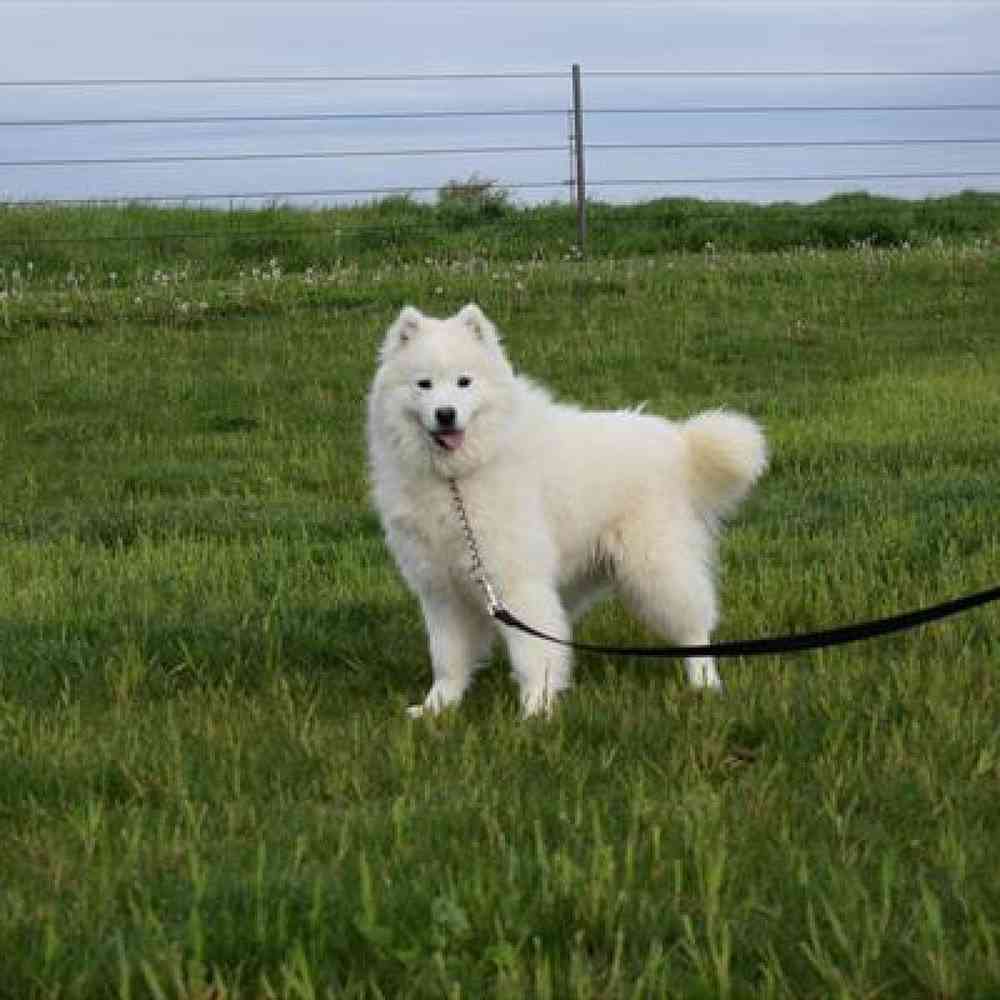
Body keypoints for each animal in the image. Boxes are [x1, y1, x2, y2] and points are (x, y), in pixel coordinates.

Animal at [368, 304, 764, 720]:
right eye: (424, 384)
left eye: (464, 382)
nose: (446, 414)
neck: (455, 481)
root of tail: (678, 442)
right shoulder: (442, 591)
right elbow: (448, 658)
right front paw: (437, 708)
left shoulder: (516, 581)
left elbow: (532, 652)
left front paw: (535, 709)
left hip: (655, 569)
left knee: (694, 628)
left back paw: (704, 683)